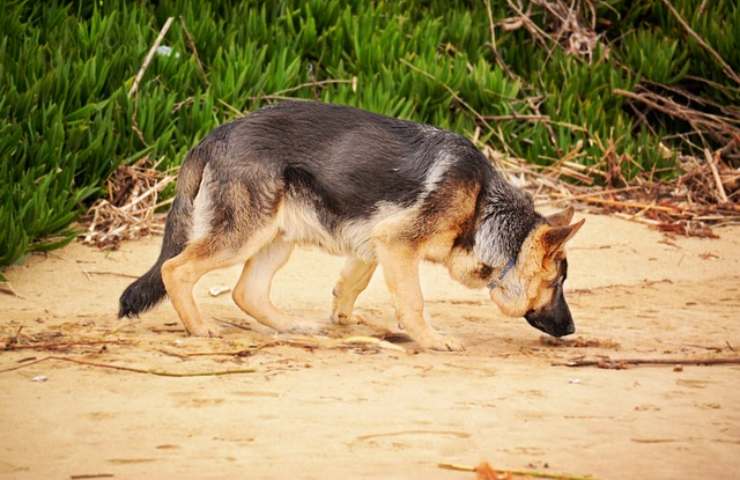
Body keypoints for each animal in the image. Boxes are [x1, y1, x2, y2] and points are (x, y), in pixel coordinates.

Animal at [120, 101, 584, 350]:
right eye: (557, 283)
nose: (572, 329)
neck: (483, 206)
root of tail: (213, 136)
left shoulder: (376, 243)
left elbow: (352, 285)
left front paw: (344, 319)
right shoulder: (398, 245)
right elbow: (413, 302)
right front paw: (431, 339)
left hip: (276, 238)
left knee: (246, 292)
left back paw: (293, 326)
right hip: (241, 237)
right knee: (174, 269)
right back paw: (200, 328)